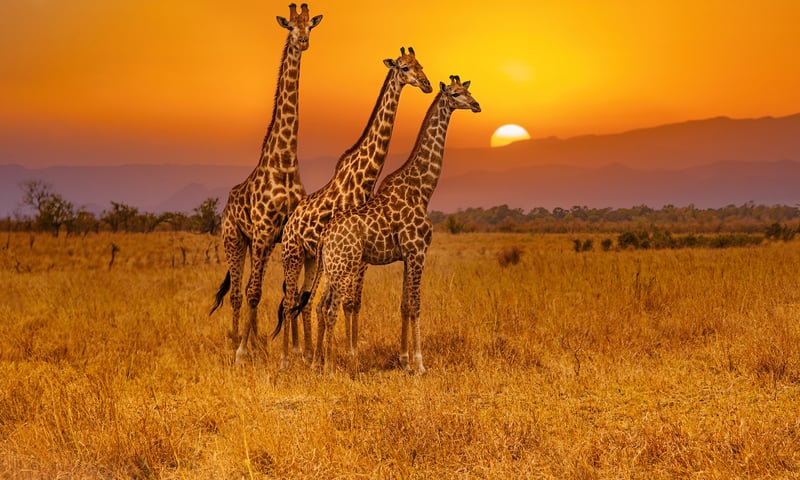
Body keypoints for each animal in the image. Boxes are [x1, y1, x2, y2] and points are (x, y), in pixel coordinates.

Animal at [209, 3, 322, 363]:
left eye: (310, 26)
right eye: (290, 27)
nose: (302, 42)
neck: (284, 160)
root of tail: (227, 205)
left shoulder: (284, 233)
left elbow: (290, 292)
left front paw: (296, 350)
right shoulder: (260, 231)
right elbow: (255, 292)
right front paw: (242, 351)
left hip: (259, 243)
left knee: (247, 288)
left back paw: (256, 341)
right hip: (234, 239)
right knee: (239, 292)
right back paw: (237, 341)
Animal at [274, 47, 432, 369]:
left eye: (420, 64)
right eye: (405, 67)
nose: (426, 84)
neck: (363, 178)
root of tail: (290, 222)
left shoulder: (361, 255)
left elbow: (352, 303)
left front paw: (349, 353)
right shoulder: (353, 253)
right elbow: (345, 303)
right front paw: (344, 356)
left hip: (311, 258)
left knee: (302, 302)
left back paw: (305, 354)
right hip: (292, 254)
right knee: (291, 300)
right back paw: (288, 358)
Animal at [302, 76, 480, 374]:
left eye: (468, 90)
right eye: (456, 94)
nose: (477, 105)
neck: (422, 190)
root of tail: (325, 235)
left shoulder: (407, 256)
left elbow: (404, 305)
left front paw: (404, 360)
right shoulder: (418, 251)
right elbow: (416, 305)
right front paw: (419, 364)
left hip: (331, 266)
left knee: (320, 306)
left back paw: (318, 362)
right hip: (343, 266)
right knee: (329, 307)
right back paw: (329, 367)